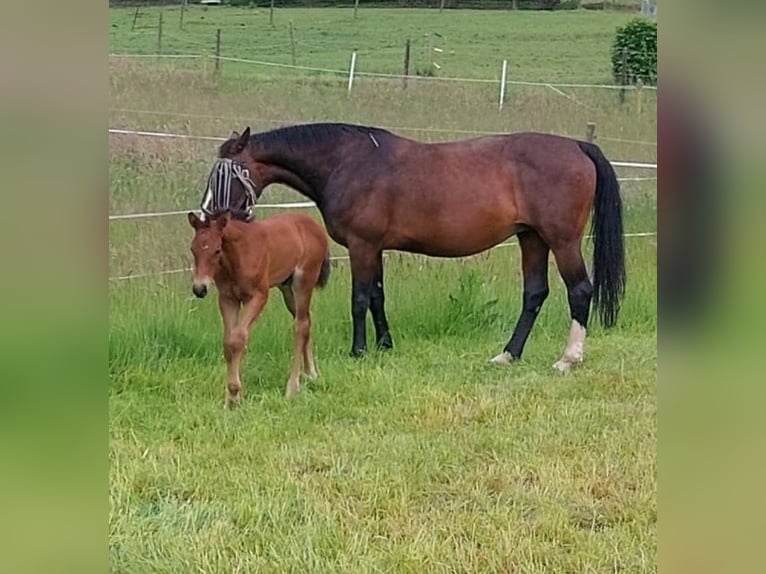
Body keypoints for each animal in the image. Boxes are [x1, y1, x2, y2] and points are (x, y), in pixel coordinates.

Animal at [188, 212, 330, 404]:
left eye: (217, 250)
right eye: (193, 249)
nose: (199, 289)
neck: (238, 256)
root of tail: (316, 226)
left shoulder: (258, 296)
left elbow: (238, 338)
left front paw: (234, 394)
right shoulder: (228, 299)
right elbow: (228, 341)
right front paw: (232, 397)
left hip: (304, 281)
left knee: (300, 326)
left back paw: (293, 387)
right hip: (287, 288)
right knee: (306, 319)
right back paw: (311, 374)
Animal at [214, 123, 624, 372]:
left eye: (225, 172)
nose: (213, 214)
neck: (349, 162)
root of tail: (577, 146)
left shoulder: (362, 245)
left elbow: (359, 299)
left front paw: (358, 351)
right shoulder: (375, 248)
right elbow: (377, 296)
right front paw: (385, 345)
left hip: (562, 240)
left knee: (580, 290)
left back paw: (568, 359)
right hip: (532, 238)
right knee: (535, 293)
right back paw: (508, 355)